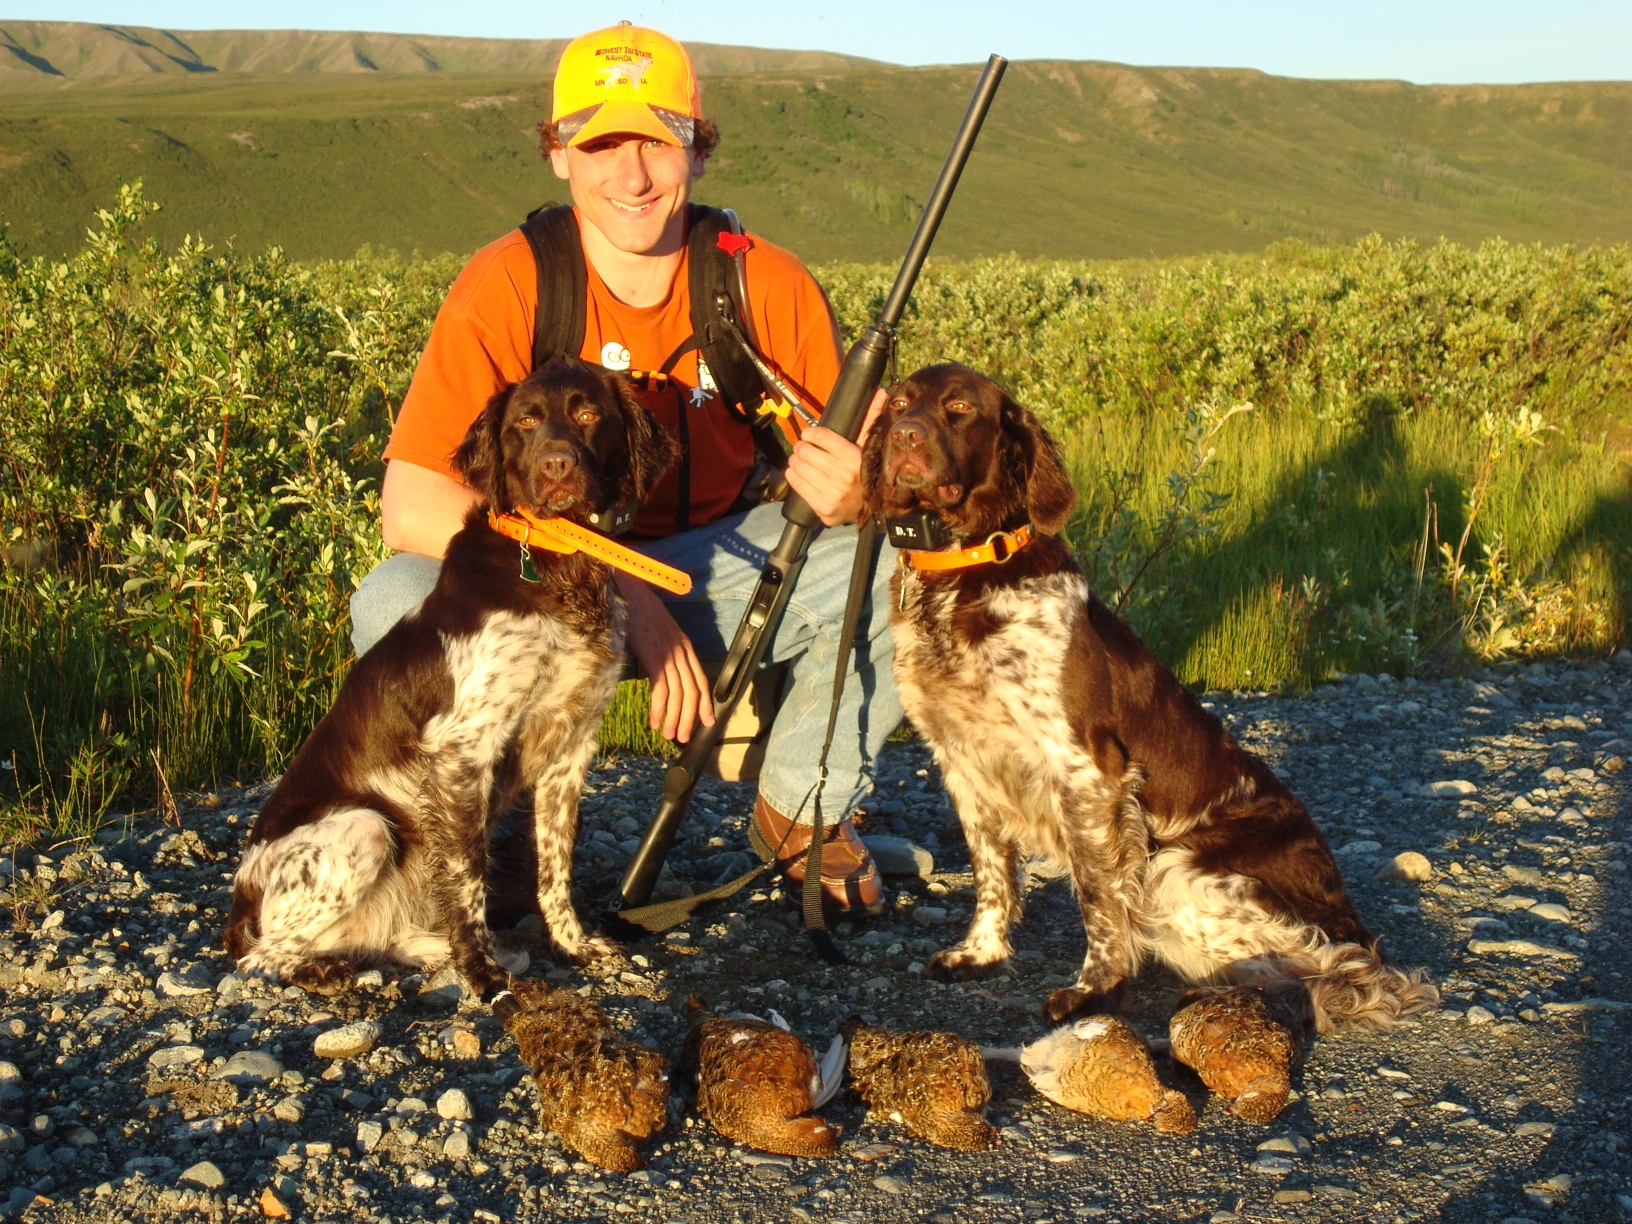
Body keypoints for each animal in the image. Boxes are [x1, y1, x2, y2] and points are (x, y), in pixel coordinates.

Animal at [225, 359, 675, 1011]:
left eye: (590, 413)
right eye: (525, 422)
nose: (556, 465)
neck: (560, 567)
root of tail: (241, 899)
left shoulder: (571, 747)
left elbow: (554, 867)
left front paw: (572, 944)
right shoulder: (464, 748)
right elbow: (467, 880)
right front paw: (484, 977)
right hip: (364, 827)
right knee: (259, 956)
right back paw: (325, 971)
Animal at [861, 367, 1436, 1037]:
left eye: (958, 407)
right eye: (900, 402)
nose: (904, 436)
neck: (960, 577)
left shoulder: (1087, 770)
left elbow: (1099, 896)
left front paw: (1095, 990)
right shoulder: (963, 761)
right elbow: (992, 873)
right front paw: (982, 952)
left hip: (1180, 870)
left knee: (1345, 970)